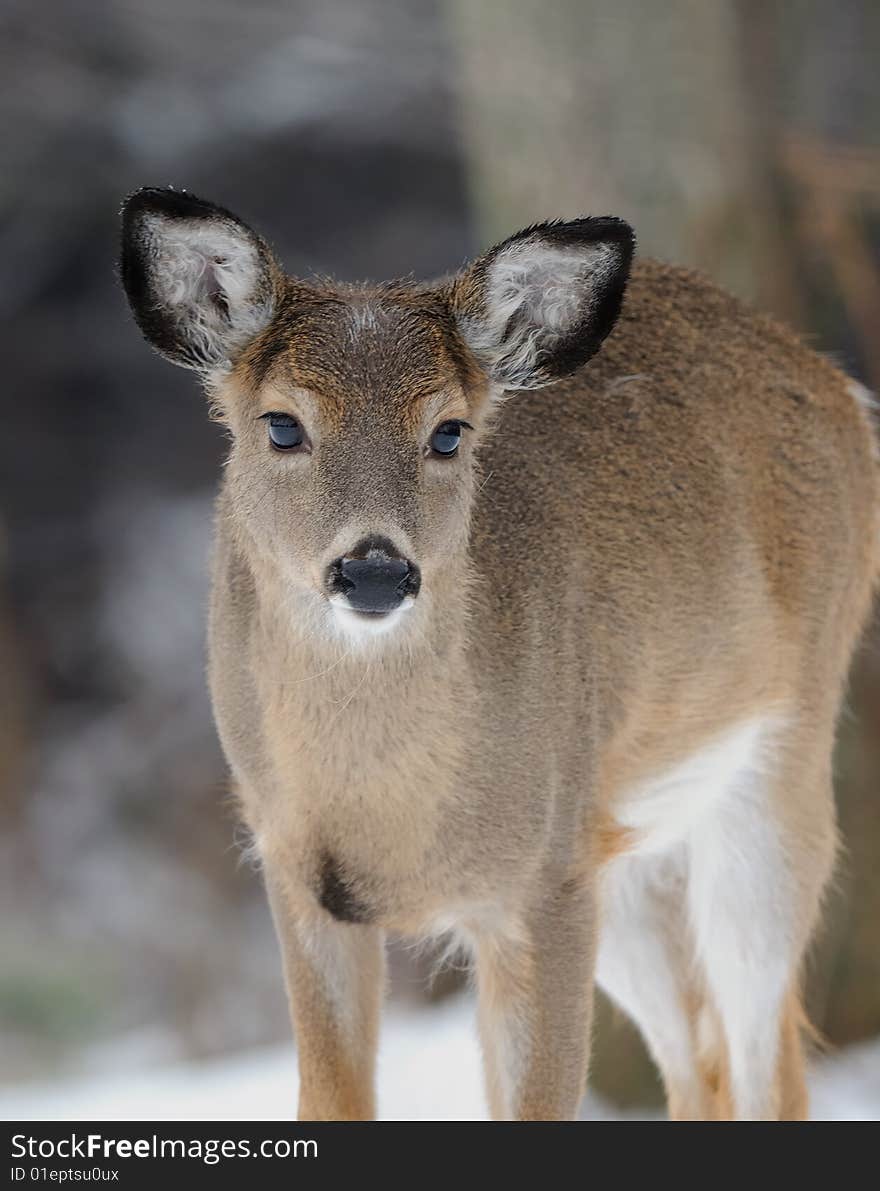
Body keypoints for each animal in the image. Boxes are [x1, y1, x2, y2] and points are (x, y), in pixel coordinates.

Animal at [120, 185, 876, 1114]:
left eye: (448, 431)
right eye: (283, 425)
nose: (375, 568)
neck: (385, 811)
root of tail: (840, 387)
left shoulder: (541, 882)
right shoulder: (295, 870)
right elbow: (330, 1096)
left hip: (777, 773)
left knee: (767, 1055)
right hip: (621, 847)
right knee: (700, 1061)